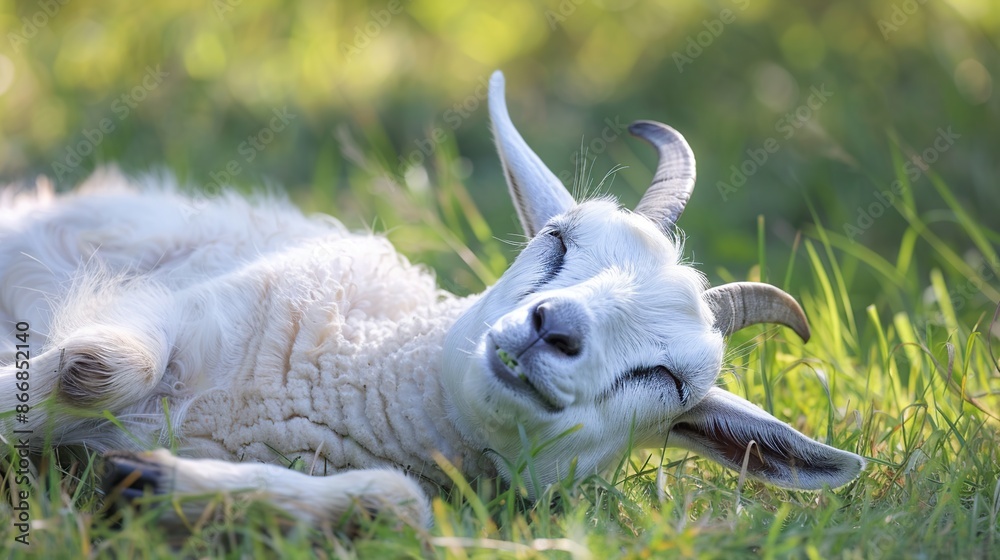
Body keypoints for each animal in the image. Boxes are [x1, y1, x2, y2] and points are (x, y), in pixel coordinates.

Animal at [0, 72, 864, 528]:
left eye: (667, 379)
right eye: (558, 241)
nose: (552, 328)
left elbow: (398, 500)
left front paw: (152, 482)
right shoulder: (181, 303)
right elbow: (104, 363)